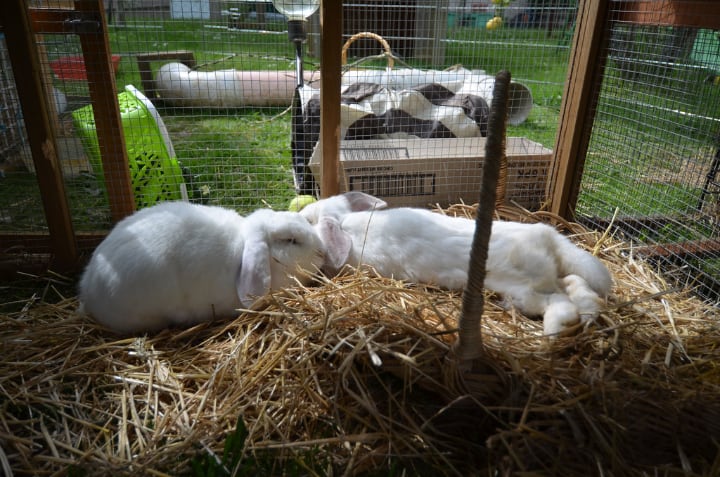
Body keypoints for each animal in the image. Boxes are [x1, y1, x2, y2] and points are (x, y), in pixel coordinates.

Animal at [304, 192, 612, 334]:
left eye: (309, 219)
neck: (347, 224)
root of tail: (547, 238)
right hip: (552, 277)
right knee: (574, 284)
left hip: (529, 291)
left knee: (561, 302)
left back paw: (552, 330)